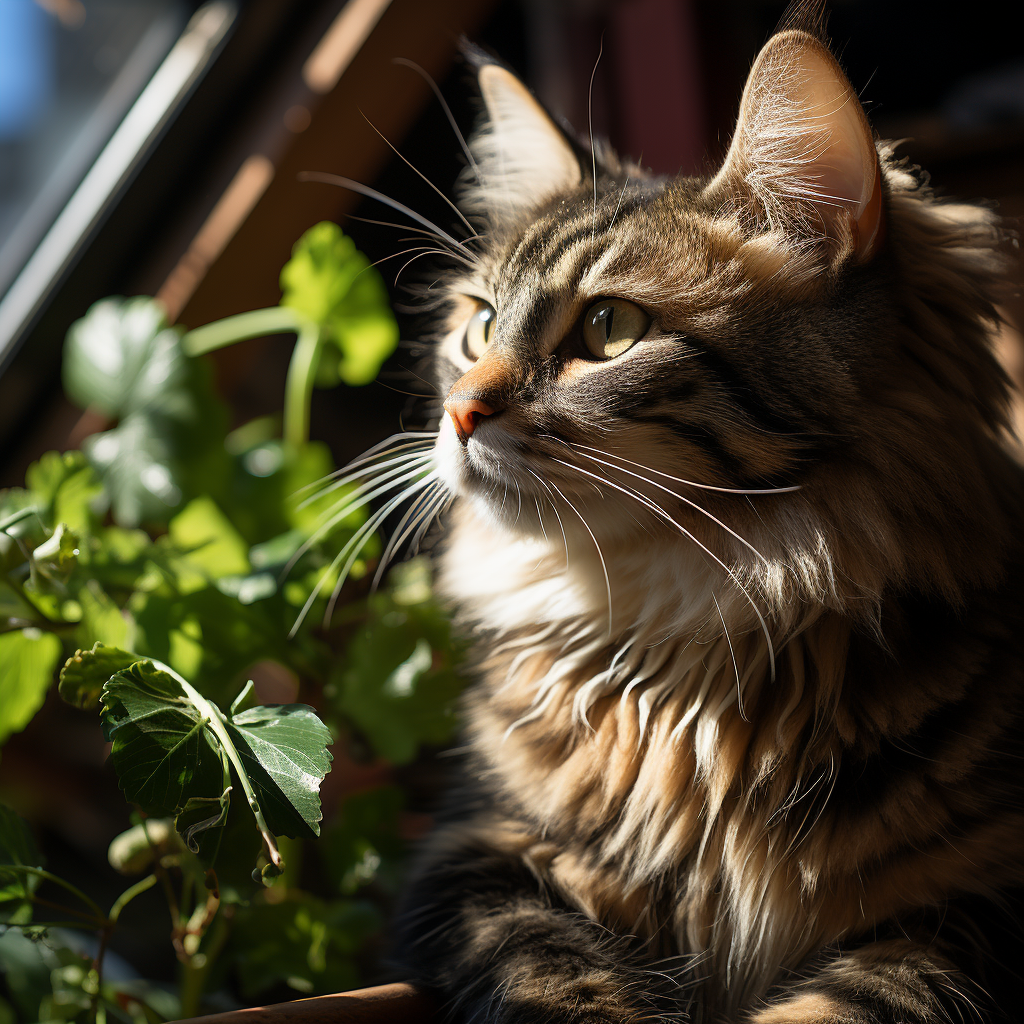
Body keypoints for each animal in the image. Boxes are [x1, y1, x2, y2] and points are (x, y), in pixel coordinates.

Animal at [354, 8, 1024, 1024]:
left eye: (608, 331)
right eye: (478, 325)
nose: (458, 412)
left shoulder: (968, 907)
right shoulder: (481, 856)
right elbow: (557, 980)